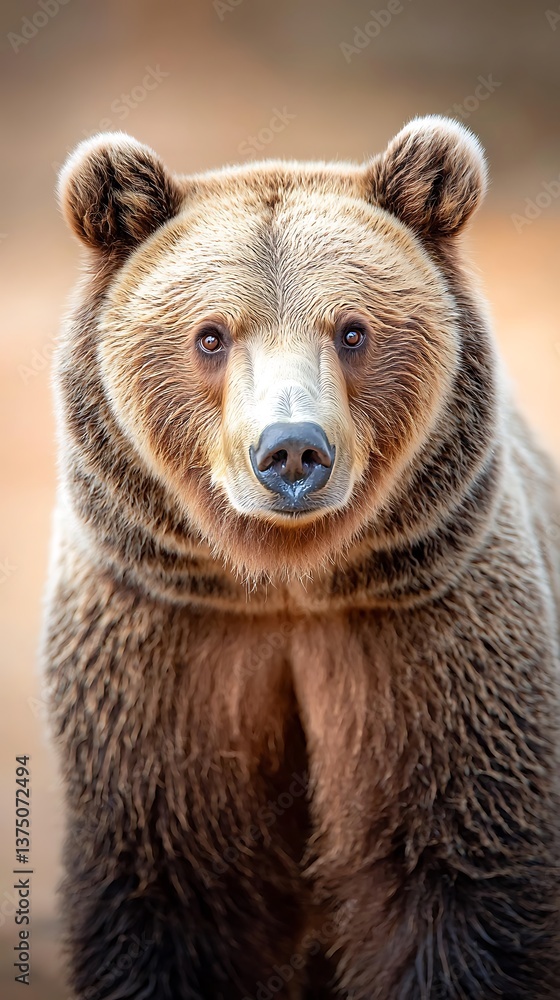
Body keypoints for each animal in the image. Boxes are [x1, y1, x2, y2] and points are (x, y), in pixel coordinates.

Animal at [42, 116, 560, 1000]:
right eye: (210, 335)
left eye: (353, 330)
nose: (290, 450)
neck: (286, 584)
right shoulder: (166, 646)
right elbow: (173, 888)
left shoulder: (428, 636)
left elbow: (457, 877)